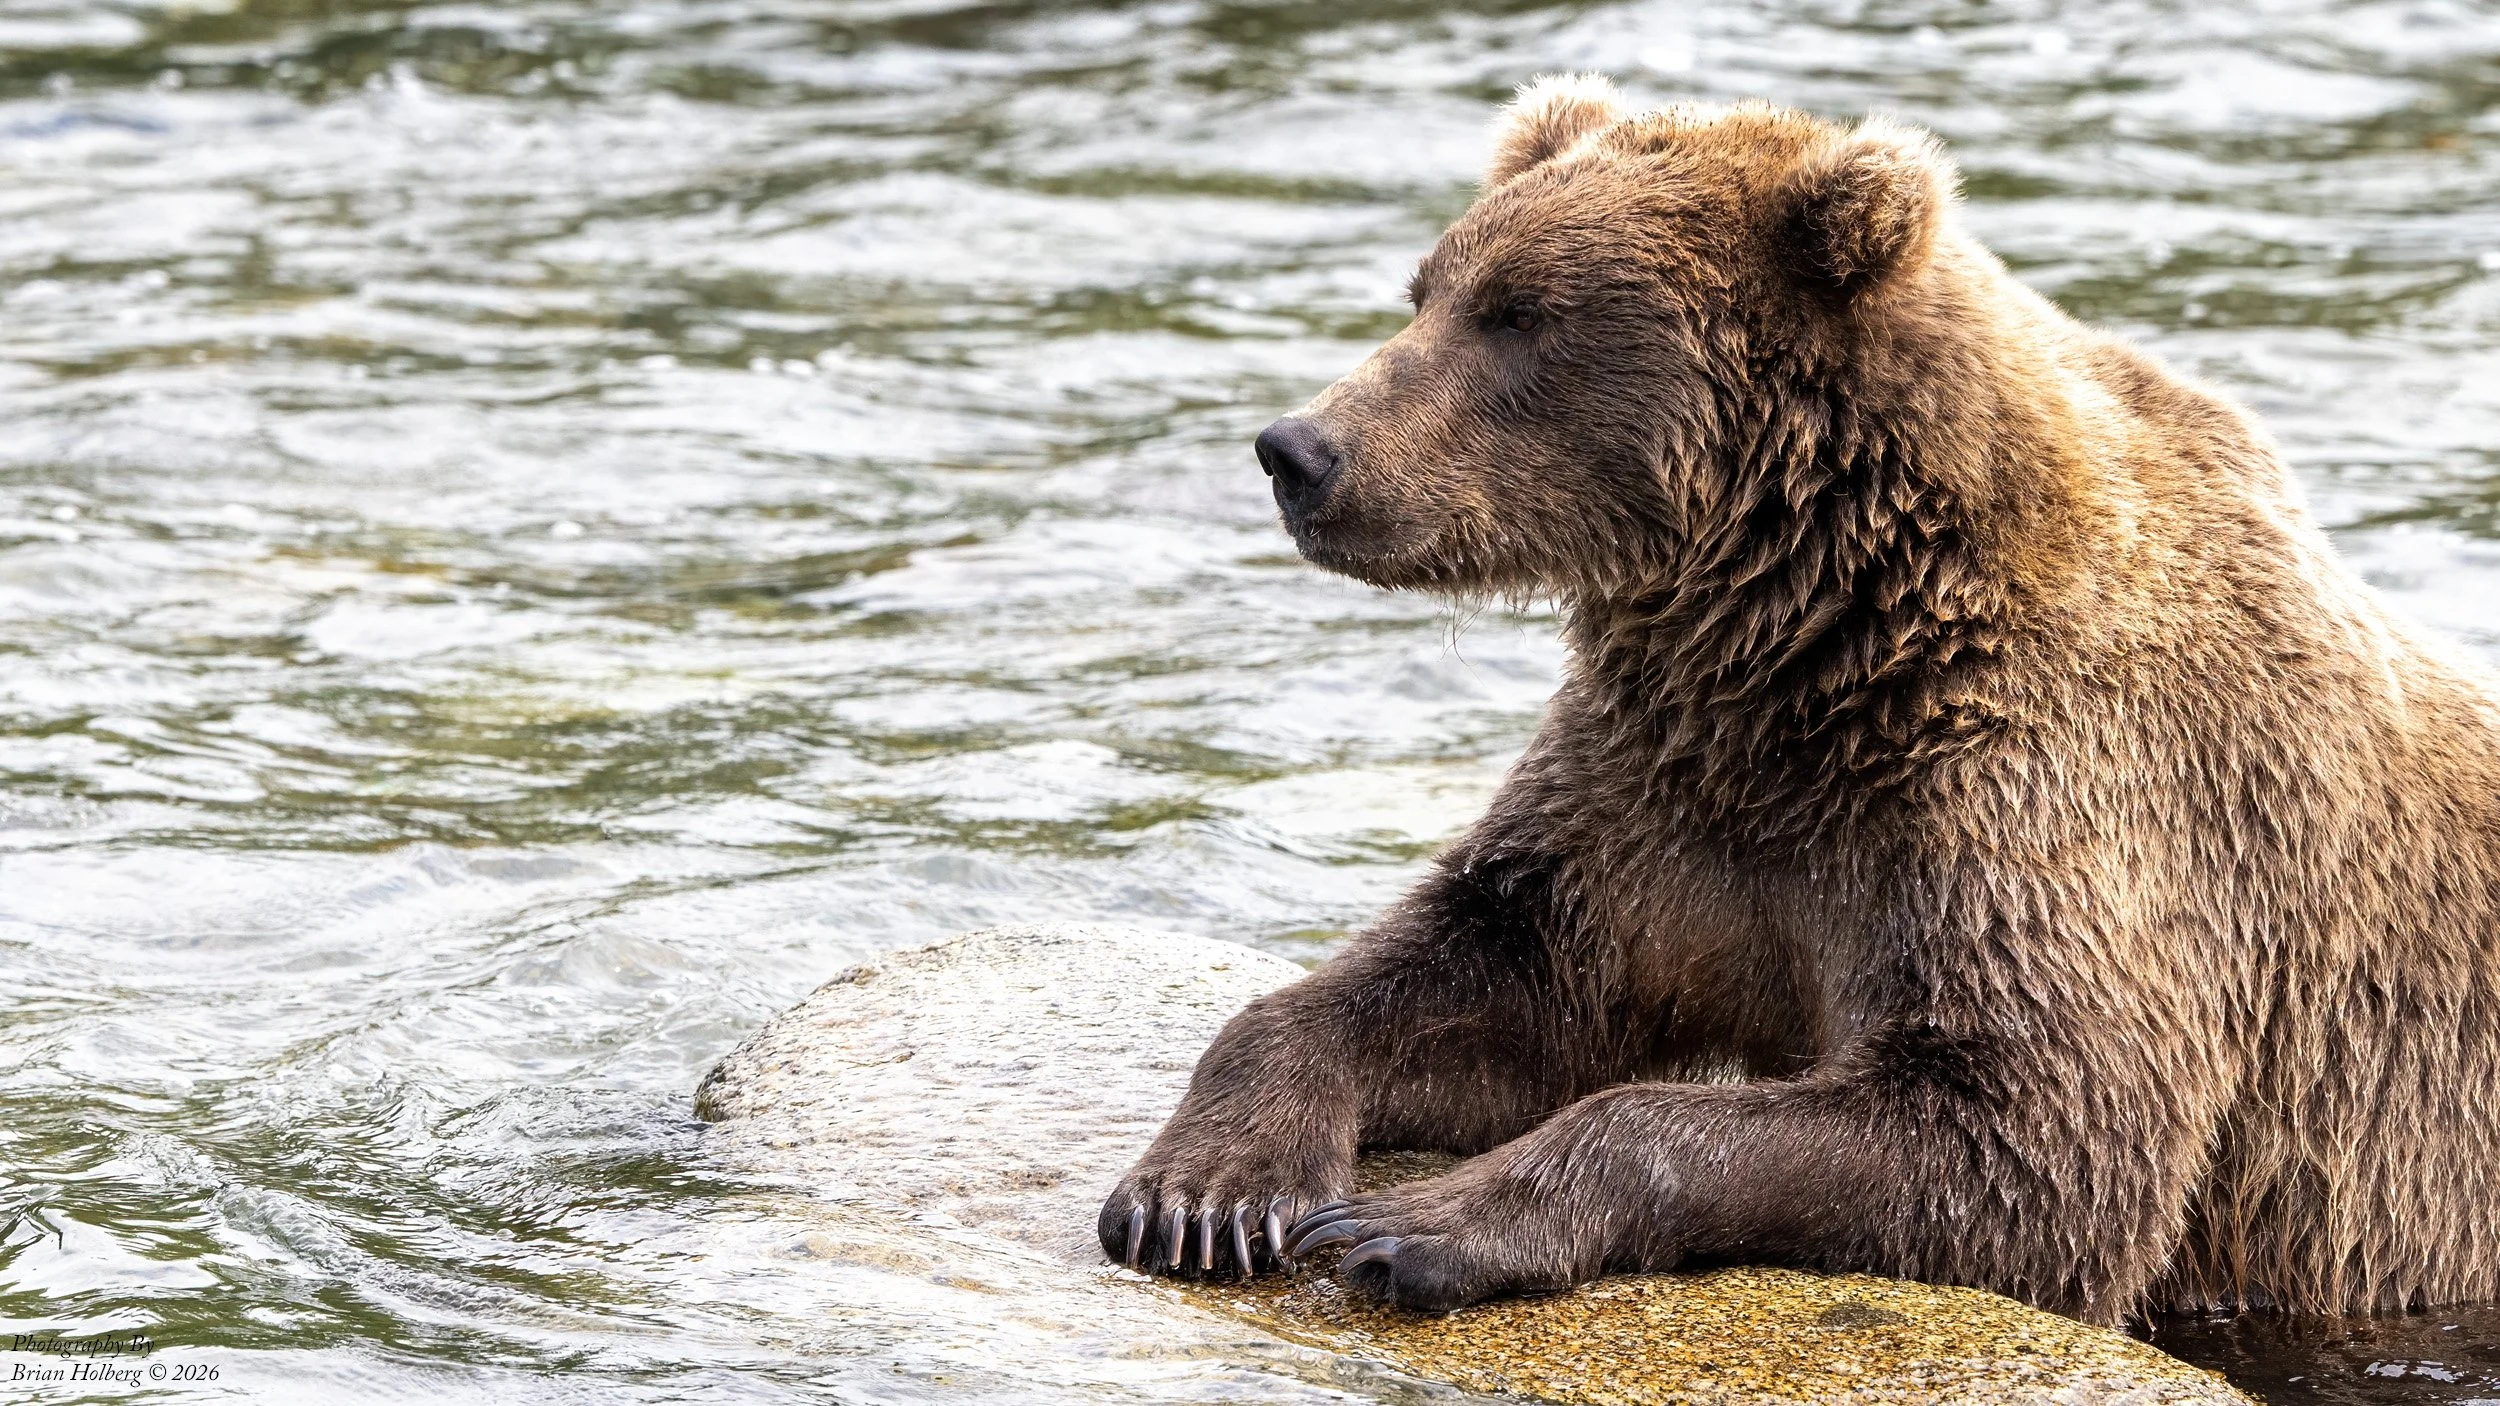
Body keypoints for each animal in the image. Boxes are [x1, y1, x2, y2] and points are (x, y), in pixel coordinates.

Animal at [1096, 74, 2500, 1326]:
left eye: (1522, 314)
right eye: (1427, 289)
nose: (1298, 448)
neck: (1806, 624)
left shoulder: (2048, 808)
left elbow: (2023, 1126)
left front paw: (1411, 1221)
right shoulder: (1665, 795)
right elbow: (1482, 955)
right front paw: (1205, 1192)